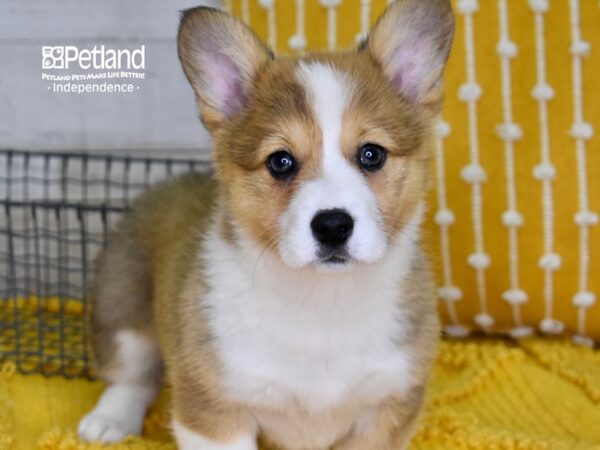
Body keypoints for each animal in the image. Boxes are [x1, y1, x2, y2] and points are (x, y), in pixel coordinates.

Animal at [77, 1, 452, 448]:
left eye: (372, 154)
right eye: (280, 161)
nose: (332, 226)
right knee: (130, 377)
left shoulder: (385, 412)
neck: (322, 305)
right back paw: (109, 421)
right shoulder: (214, 412)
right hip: (123, 310)